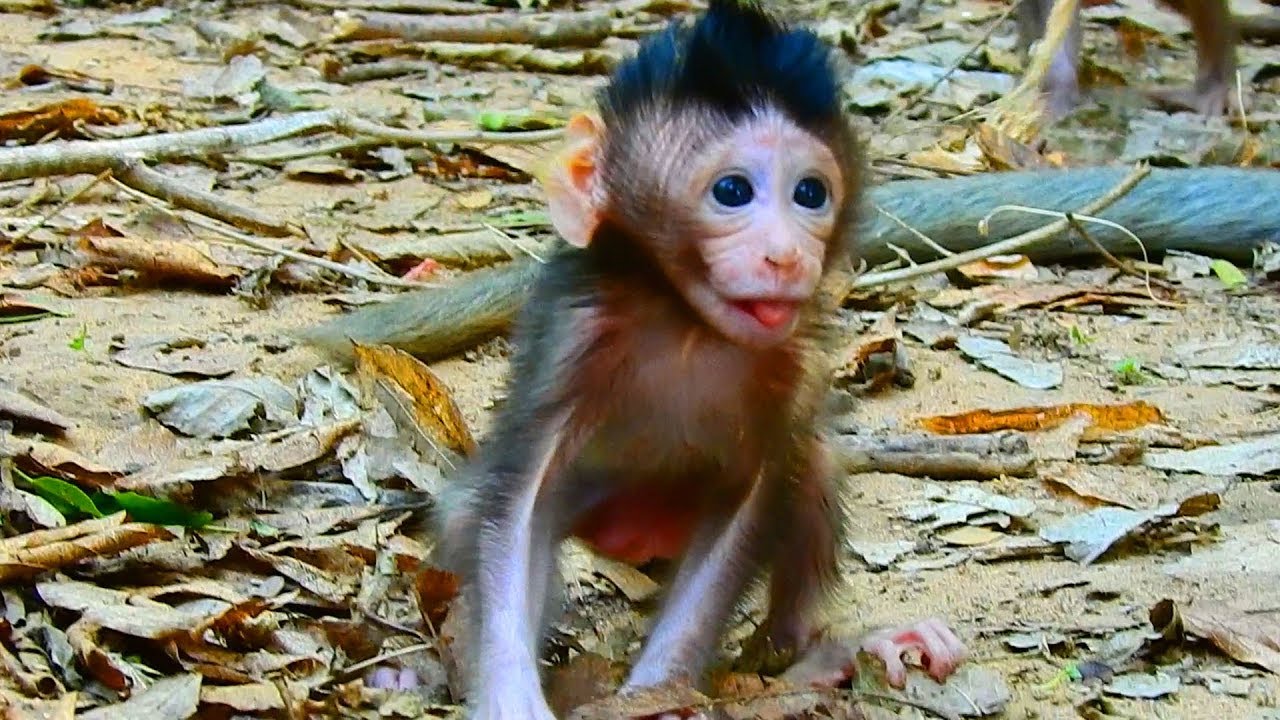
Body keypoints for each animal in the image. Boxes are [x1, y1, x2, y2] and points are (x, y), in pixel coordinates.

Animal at [416, 1, 968, 717]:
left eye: (810, 194)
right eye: (733, 191)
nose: (785, 255)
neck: (687, 324)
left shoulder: (790, 366)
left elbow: (754, 501)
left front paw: (660, 691)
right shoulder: (573, 337)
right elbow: (515, 505)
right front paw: (512, 700)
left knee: (811, 468)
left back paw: (815, 655)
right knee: (473, 514)